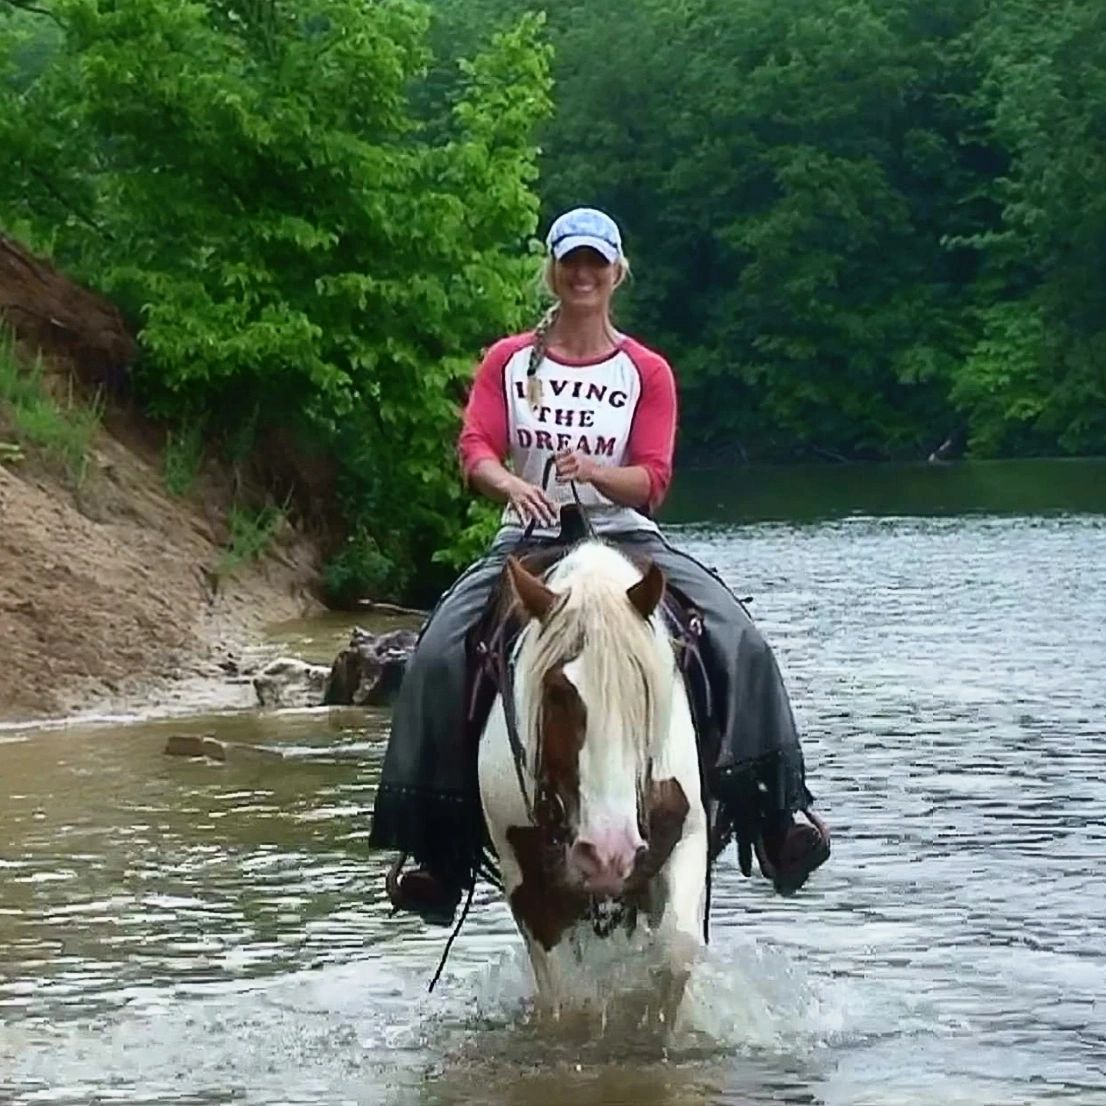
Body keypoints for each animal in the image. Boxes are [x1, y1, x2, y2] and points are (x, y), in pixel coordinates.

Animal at [478, 539, 708, 1020]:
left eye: (641, 687)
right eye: (558, 692)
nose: (607, 853)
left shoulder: (688, 837)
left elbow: (675, 952)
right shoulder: (530, 888)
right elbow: (569, 998)